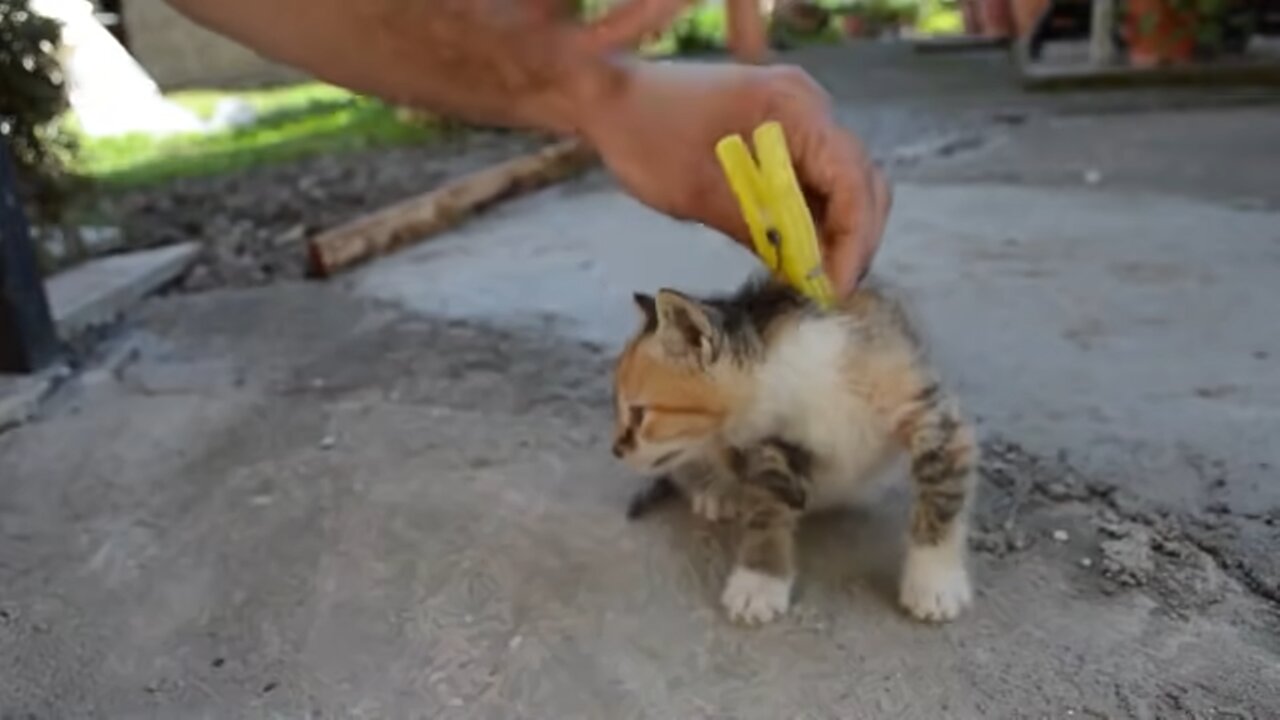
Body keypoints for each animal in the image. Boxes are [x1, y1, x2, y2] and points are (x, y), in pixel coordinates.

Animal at [609, 274, 977, 622]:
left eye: (639, 414)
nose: (616, 450)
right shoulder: (771, 446)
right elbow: (767, 508)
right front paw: (759, 581)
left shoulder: (930, 413)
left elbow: (941, 493)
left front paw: (934, 581)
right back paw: (719, 490)